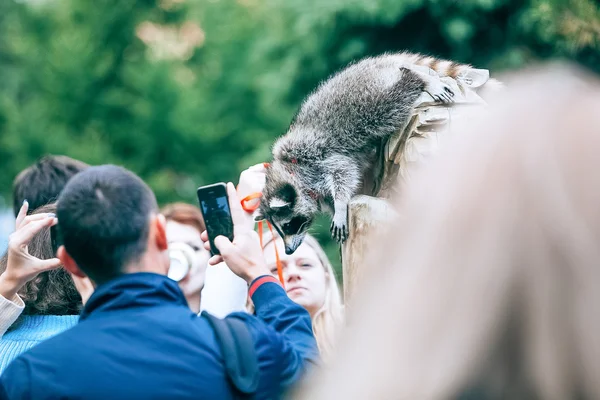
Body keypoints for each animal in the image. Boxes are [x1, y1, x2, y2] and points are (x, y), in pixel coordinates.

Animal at [258, 52, 488, 253]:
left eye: (288, 225)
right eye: (280, 230)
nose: (288, 251)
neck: (290, 171)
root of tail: (375, 63)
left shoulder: (316, 156)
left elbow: (344, 172)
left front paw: (340, 207)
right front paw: (335, 208)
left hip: (367, 98)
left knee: (391, 101)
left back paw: (415, 77)